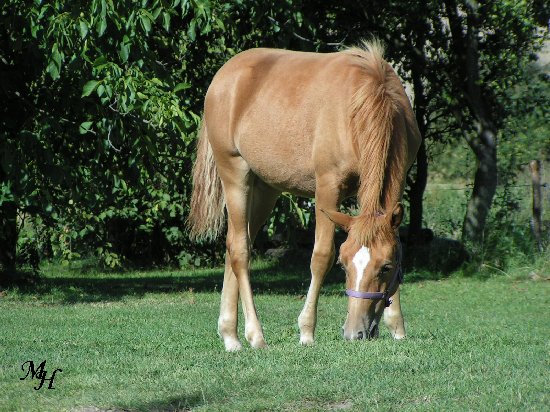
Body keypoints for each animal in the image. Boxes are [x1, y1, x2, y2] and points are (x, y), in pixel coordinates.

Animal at [188, 40, 421, 351]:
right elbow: (321, 256)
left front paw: (396, 326)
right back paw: (254, 334)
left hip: (265, 190)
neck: (363, 102)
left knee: (234, 246)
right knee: (239, 250)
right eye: (343, 265)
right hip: (235, 176)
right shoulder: (327, 189)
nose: (355, 332)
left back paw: (229, 334)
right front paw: (307, 331)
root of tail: (224, 76)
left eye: (385, 267)